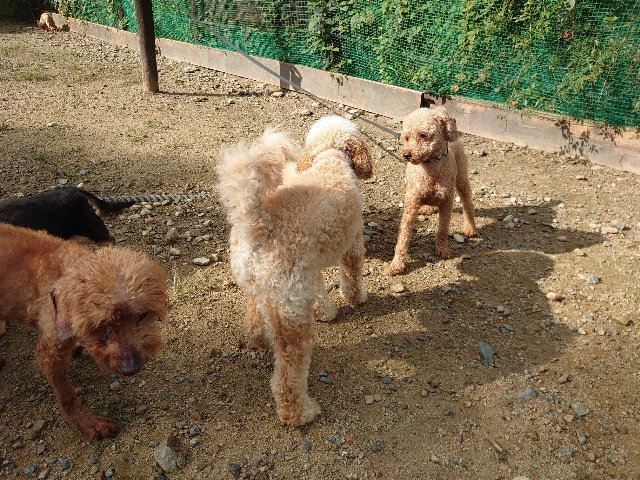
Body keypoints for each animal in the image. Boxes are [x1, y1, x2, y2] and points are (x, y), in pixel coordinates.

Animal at [0, 223, 167, 440]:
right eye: (101, 325)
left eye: (142, 315)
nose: (130, 369)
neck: (65, 269)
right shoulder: (49, 352)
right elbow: (67, 396)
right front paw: (89, 423)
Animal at [217, 116, 372, 426]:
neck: (331, 158)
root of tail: (258, 227)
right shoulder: (352, 241)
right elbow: (352, 273)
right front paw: (356, 299)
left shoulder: (309, 266)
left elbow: (320, 287)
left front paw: (325, 312)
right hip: (291, 310)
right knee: (288, 374)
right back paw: (301, 413)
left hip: (264, 288)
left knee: (254, 320)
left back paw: (260, 339)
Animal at [386, 107, 477, 275]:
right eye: (406, 138)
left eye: (423, 135)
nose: (406, 155)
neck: (430, 166)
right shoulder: (411, 204)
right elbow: (403, 237)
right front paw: (396, 264)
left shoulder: (447, 202)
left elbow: (442, 230)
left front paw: (442, 249)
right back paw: (428, 208)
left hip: (461, 177)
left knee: (468, 202)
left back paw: (470, 228)